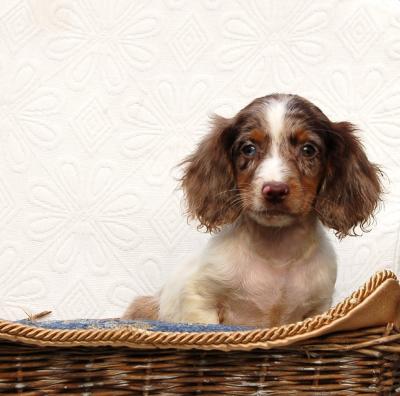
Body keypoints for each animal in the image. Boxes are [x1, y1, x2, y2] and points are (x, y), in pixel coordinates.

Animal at [122, 93, 382, 328]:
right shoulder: (199, 297)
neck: (277, 254)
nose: (274, 190)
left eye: (308, 149)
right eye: (249, 148)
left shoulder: (317, 308)